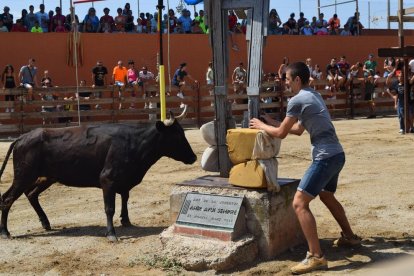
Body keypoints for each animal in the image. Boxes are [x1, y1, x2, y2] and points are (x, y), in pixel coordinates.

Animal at [0, 111, 196, 240]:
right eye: (177, 135)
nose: (193, 157)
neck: (134, 142)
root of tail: (22, 137)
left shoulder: (124, 180)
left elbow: (125, 198)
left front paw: (126, 221)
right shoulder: (107, 180)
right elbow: (109, 208)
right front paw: (111, 234)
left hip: (46, 177)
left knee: (31, 194)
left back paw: (46, 223)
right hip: (24, 175)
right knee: (7, 198)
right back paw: (5, 232)